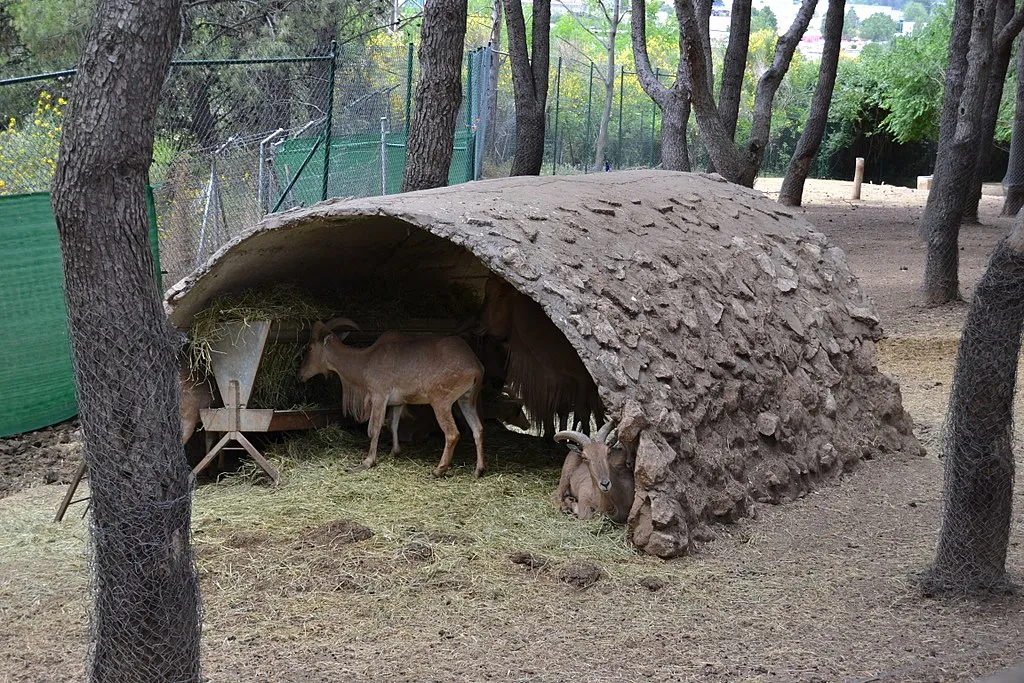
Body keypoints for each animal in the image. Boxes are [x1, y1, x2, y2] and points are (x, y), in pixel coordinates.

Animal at [296, 317, 487, 479]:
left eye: (309, 348)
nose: (300, 375)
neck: (365, 360)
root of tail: (475, 367)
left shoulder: (379, 396)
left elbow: (374, 428)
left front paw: (367, 462)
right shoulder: (398, 403)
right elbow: (393, 424)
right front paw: (394, 452)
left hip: (441, 402)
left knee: (452, 434)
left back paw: (437, 471)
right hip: (467, 400)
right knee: (477, 429)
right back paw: (478, 470)